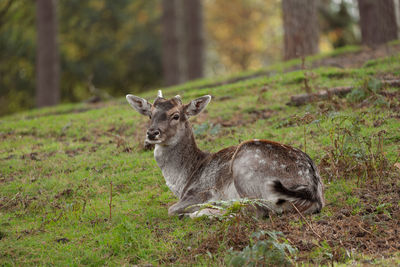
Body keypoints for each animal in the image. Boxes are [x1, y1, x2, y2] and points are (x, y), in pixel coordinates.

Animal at [126, 91, 324, 219]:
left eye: (175, 115)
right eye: (149, 114)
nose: (152, 133)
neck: (183, 180)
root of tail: (314, 194)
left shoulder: (200, 191)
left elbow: (171, 209)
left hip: (245, 168)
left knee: (257, 211)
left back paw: (210, 210)